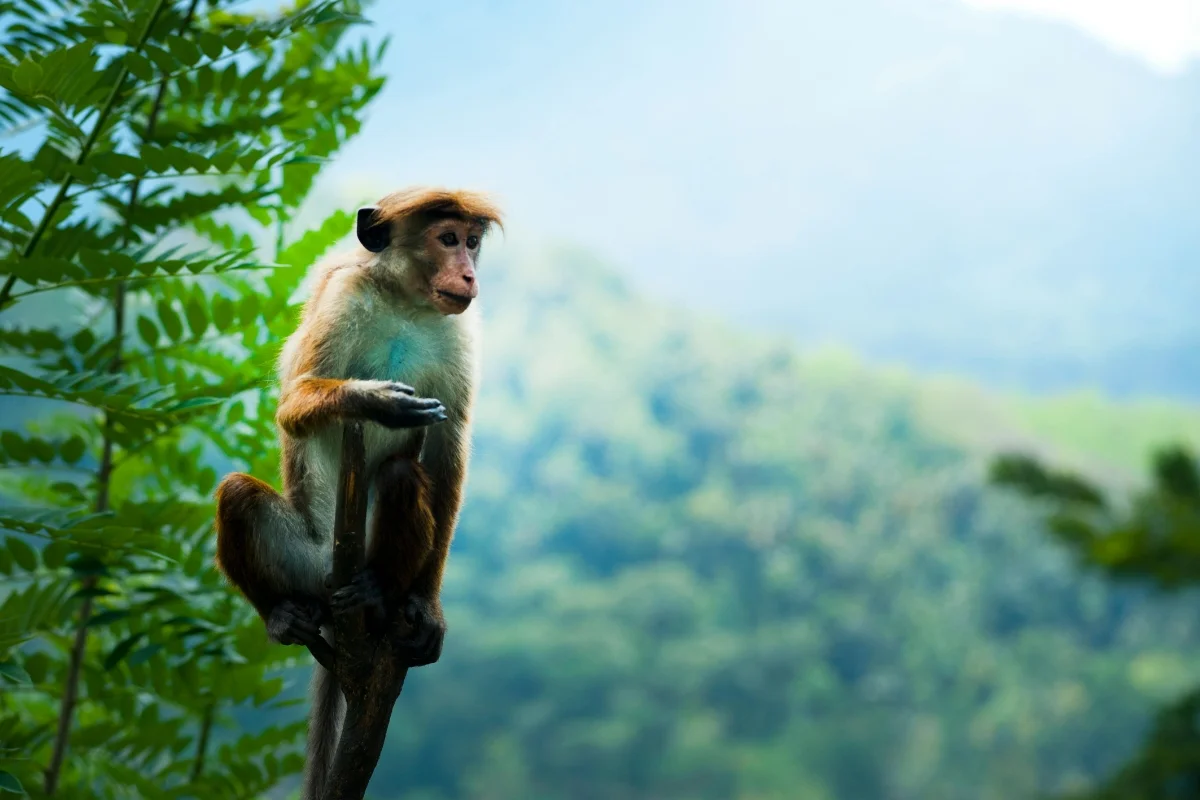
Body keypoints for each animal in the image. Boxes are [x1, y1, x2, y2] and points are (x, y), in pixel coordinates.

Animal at [212, 187, 502, 799]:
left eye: (472, 242)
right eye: (447, 239)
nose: (469, 273)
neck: (405, 304)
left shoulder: (461, 332)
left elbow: (447, 455)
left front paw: (427, 608)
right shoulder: (343, 298)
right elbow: (294, 403)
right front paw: (374, 400)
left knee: (400, 475)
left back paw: (380, 593)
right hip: (303, 561)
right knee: (237, 494)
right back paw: (282, 616)